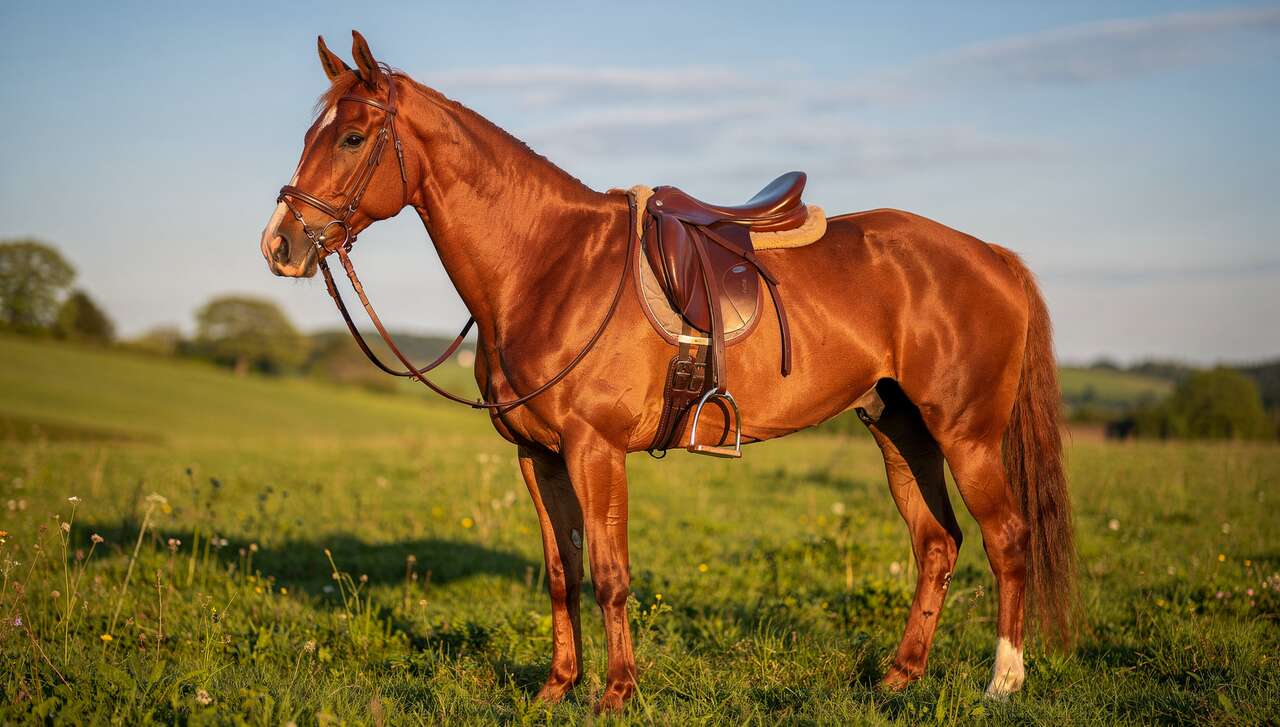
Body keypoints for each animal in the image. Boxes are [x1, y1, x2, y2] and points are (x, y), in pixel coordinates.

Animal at [259, 31, 1076, 712]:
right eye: (307, 135)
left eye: (353, 137)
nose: (280, 245)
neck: (548, 264)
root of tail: (991, 255)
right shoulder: (537, 457)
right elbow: (561, 573)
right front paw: (557, 688)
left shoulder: (596, 451)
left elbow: (609, 574)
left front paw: (616, 694)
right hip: (898, 428)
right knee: (937, 544)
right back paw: (899, 676)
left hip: (966, 433)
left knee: (1006, 538)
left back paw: (1003, 681)